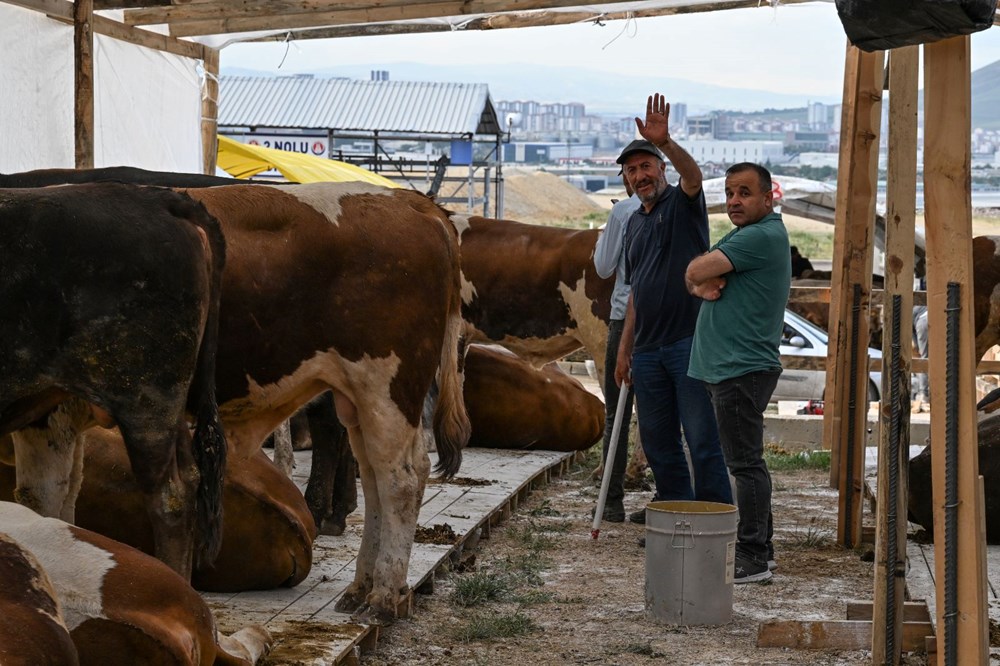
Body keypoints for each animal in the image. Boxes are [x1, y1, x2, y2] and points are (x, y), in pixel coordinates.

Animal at [181, 183, 472, 624]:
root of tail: (407, 199)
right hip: (358, 400)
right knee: (373, 479)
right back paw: (361, 587)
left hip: (386, 390)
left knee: (401, 479)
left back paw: (382, 597)